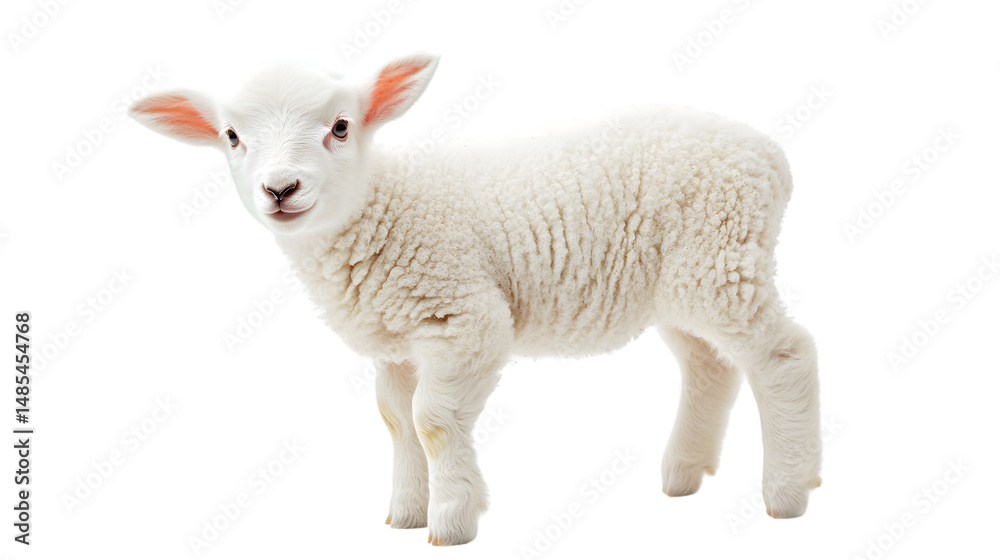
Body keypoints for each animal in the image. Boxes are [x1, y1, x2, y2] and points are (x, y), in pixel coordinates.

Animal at [129, 53, 821, 546]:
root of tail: (772, 157)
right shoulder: (396, 346)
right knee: (709, 365)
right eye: (232, 136)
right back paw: (685, 475)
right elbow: (396, 420)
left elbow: (434, 422)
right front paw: (406, 513)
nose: (281, 188)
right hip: (685, 282)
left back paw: (788, 491)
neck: (383, 206)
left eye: (341, 126)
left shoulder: (463, 318)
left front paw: (452, 519)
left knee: (784, 356)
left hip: (721, 258)